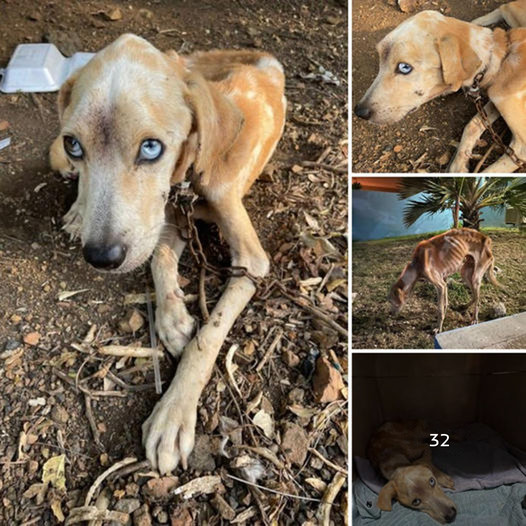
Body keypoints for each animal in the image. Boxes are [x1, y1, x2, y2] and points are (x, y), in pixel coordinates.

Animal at [50, 35, 288, 476]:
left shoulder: (251, 260)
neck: (191, 175)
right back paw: (77, 210)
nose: (101, 257)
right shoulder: (167, 221)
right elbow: (159, 258)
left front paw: (173, 413)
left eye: (150, 148)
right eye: (75, 144)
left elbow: (208, 336)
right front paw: (173, 319)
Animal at [356, 6, 526, 173]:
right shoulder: (494, 99)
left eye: (404, 67)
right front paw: (459, 165)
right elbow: (472, 124)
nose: (359, 111)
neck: (500, 56)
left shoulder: (520, 147)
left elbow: (489, 172)